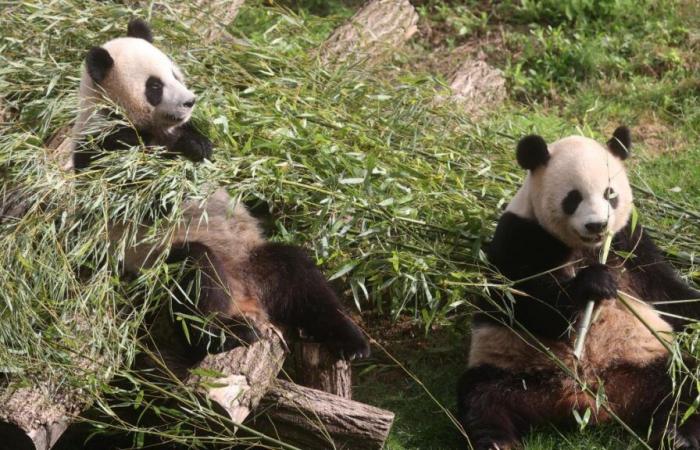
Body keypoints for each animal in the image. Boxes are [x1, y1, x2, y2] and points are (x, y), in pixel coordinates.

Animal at [71, 18, 372, 362]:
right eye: (154, 87)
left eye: (174, 74)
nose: (189, 101)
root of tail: (244, 296)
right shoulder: (104, 149)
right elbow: (145, 198)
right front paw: (184, 153)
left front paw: (202, 146)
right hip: (157, 267)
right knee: (192, 280)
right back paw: (224, 334)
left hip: (255, 258)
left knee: (302, 279)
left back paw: (351, 341)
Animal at [456, 127, 700, 450]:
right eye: (573, 198)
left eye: (610, 194)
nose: (597, 225)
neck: (586, 247)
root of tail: (586, 397)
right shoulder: (519, 235)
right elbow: (524, 303)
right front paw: (594, 284)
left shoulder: (630, 242)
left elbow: (667, 293)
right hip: (510, 369)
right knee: (483, 400)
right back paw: (497, 442)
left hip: (650, 361)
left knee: (685, 386)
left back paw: (677, 435)